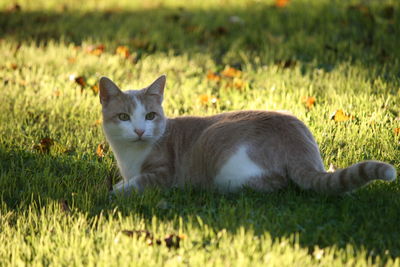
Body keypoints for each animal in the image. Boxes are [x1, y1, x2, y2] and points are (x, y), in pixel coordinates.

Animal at [100, 75, 396, 197]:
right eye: (124, 117)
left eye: (150, 116)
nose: (140, 130)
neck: (129, 157)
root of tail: (298, 142)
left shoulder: (164, 173)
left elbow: (131, 185)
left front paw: (116, 191)